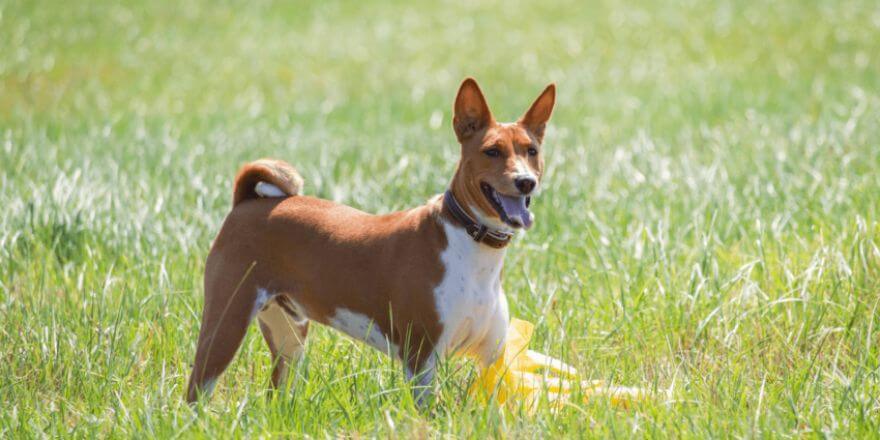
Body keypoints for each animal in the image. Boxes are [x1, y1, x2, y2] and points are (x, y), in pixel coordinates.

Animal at [188, 77, 552, 404]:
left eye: (531, 151)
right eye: (492, 151)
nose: (525, 181)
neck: (471, 244)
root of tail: (246, 202)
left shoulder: (493, 358)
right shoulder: (421, 358)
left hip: (289, 336)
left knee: (275, 394)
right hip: (226, 324)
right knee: (196, 391)